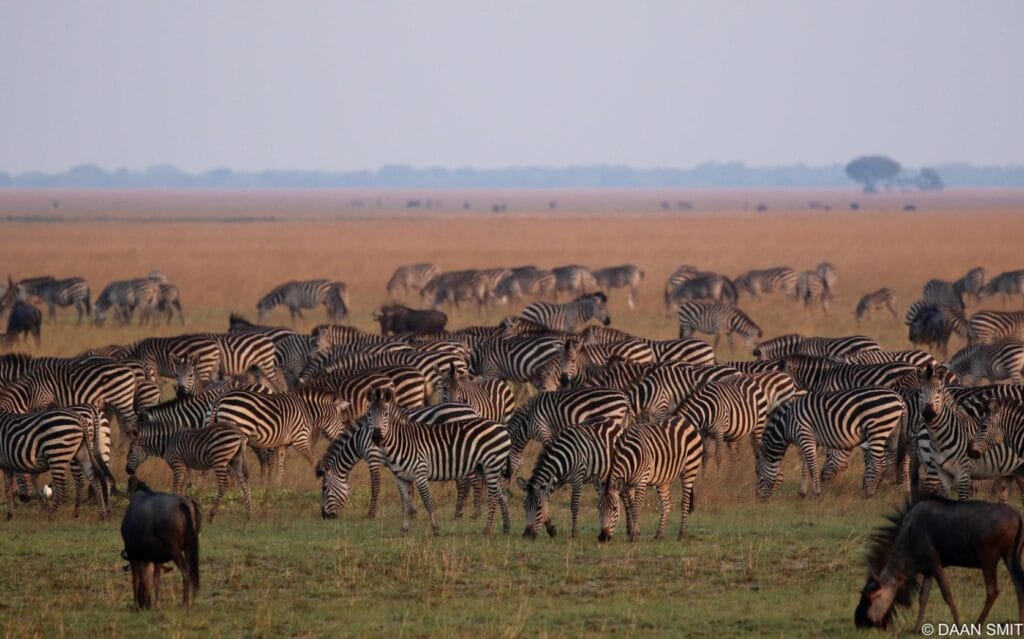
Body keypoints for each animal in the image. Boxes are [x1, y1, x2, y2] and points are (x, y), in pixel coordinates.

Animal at [211, 390, 349, 486]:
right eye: (343, 422)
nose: (343, 440)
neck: (308, 413)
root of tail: (220, 399)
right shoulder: (300, 439)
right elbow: (313, 459)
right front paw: (315, 480)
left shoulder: (282, 444)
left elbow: (281, 466)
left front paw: (276, 486)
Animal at [363, 387, 511, 535]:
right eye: (369, 414)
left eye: (386, 414)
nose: (376, 437)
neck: (401, 441)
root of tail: (501, 427)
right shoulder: (401, 478)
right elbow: (404, 503)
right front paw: (404, 530)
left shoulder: (420, 473)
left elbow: (428, 501)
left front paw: (435, 529)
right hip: (485, 469)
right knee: (502, 495)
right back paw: (506, 527)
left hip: (491, 466)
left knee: (493, 497)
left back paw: (487, 529)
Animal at [756, 387, 905, 498]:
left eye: (759, 475)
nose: (759, 498)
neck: (786, 423)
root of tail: (900, 399)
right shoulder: (808, 440)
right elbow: (805, 466)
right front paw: (802, 493)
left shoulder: (805, 435)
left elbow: (812, 466)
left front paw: (815, 493)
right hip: (891, 433)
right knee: (891, 461)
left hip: (877, 430)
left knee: (879, 463)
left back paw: (869, 494)